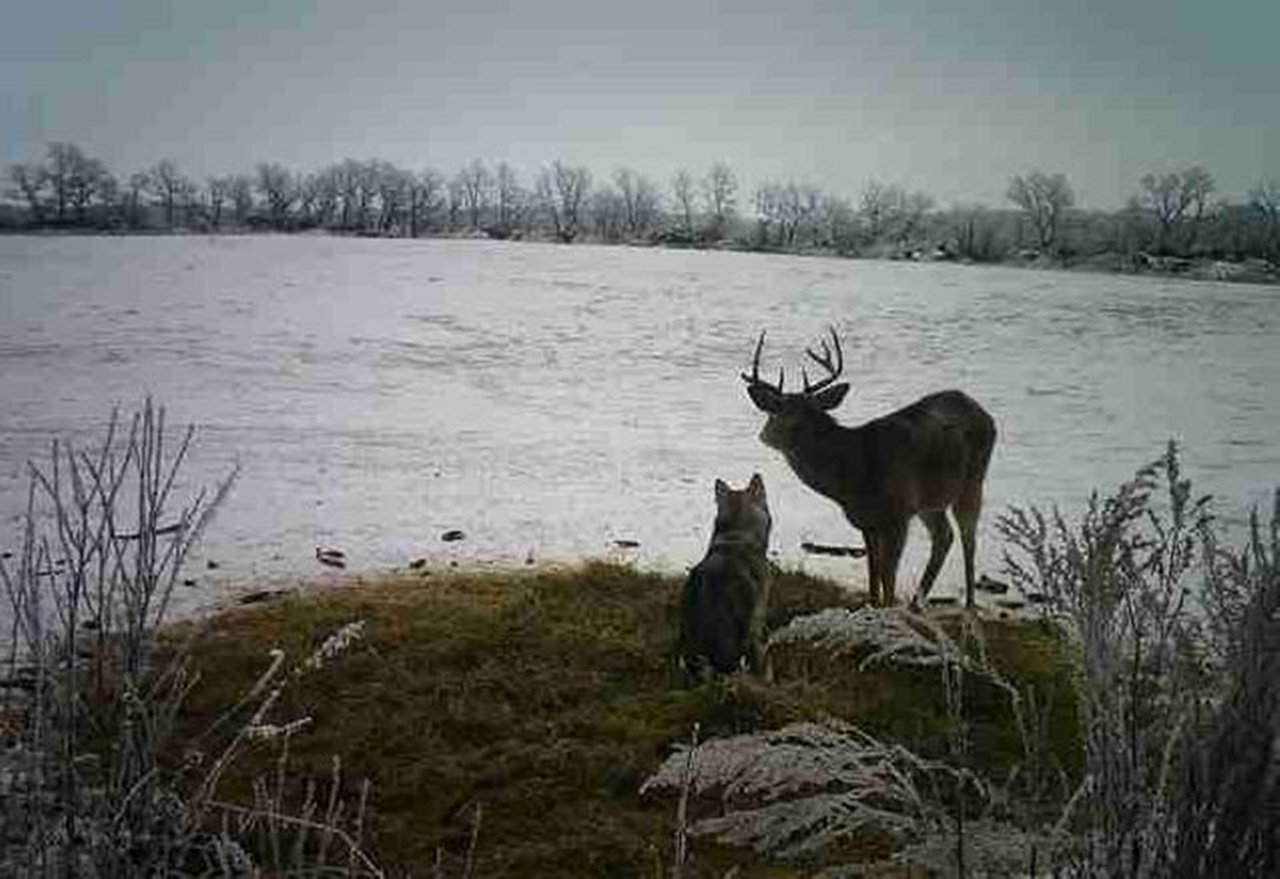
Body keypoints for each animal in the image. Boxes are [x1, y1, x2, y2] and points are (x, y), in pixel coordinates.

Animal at [742, 326, 998, 609]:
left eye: (810, 412)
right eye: (775, 410)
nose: (766, 435)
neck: (855, 473)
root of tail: (982, 410)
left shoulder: (899, 513)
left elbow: (888, 577)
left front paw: (888, 608)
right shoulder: (868, 522)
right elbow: (874, 575)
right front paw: (875, 605)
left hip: (974, 477)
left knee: (967, 537)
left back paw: (969, 604)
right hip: (930, 501)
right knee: (944, 537)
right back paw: (916, 604)